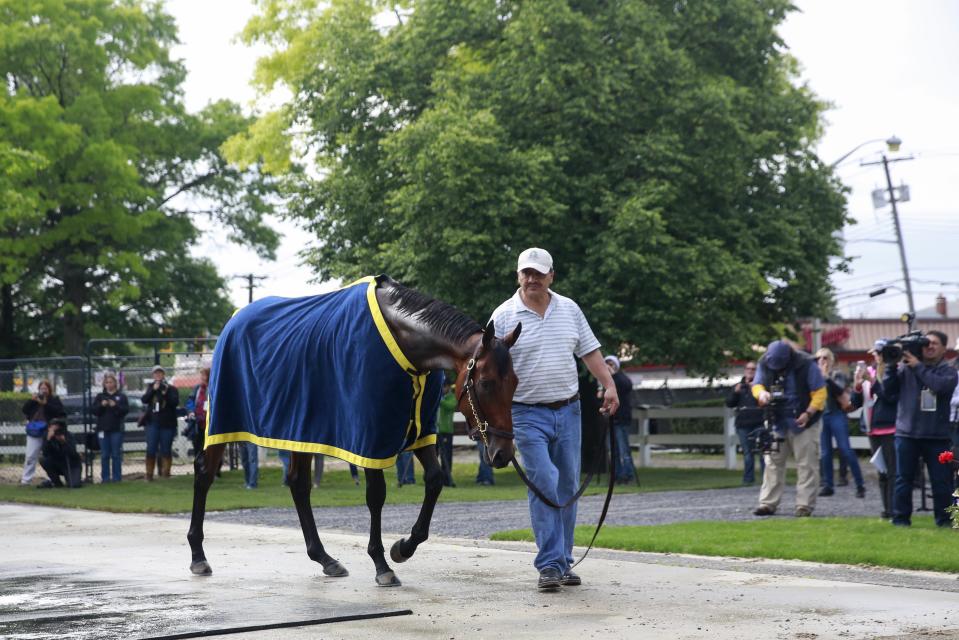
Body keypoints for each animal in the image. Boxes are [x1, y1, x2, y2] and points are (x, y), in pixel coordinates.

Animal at [185, 276, 520, 584]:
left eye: (515, 382)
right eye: (486, 383)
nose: (503, 453)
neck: (406, 340)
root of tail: (234, 319)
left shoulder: (420, 431)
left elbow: (436, 480)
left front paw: (403, 547)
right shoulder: (371, 435)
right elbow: (376, 495)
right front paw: (382, 564)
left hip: (300, 429)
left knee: (298, 485)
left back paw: (325, 558)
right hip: (223, 424)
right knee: (204, 472)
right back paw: (198, 556)